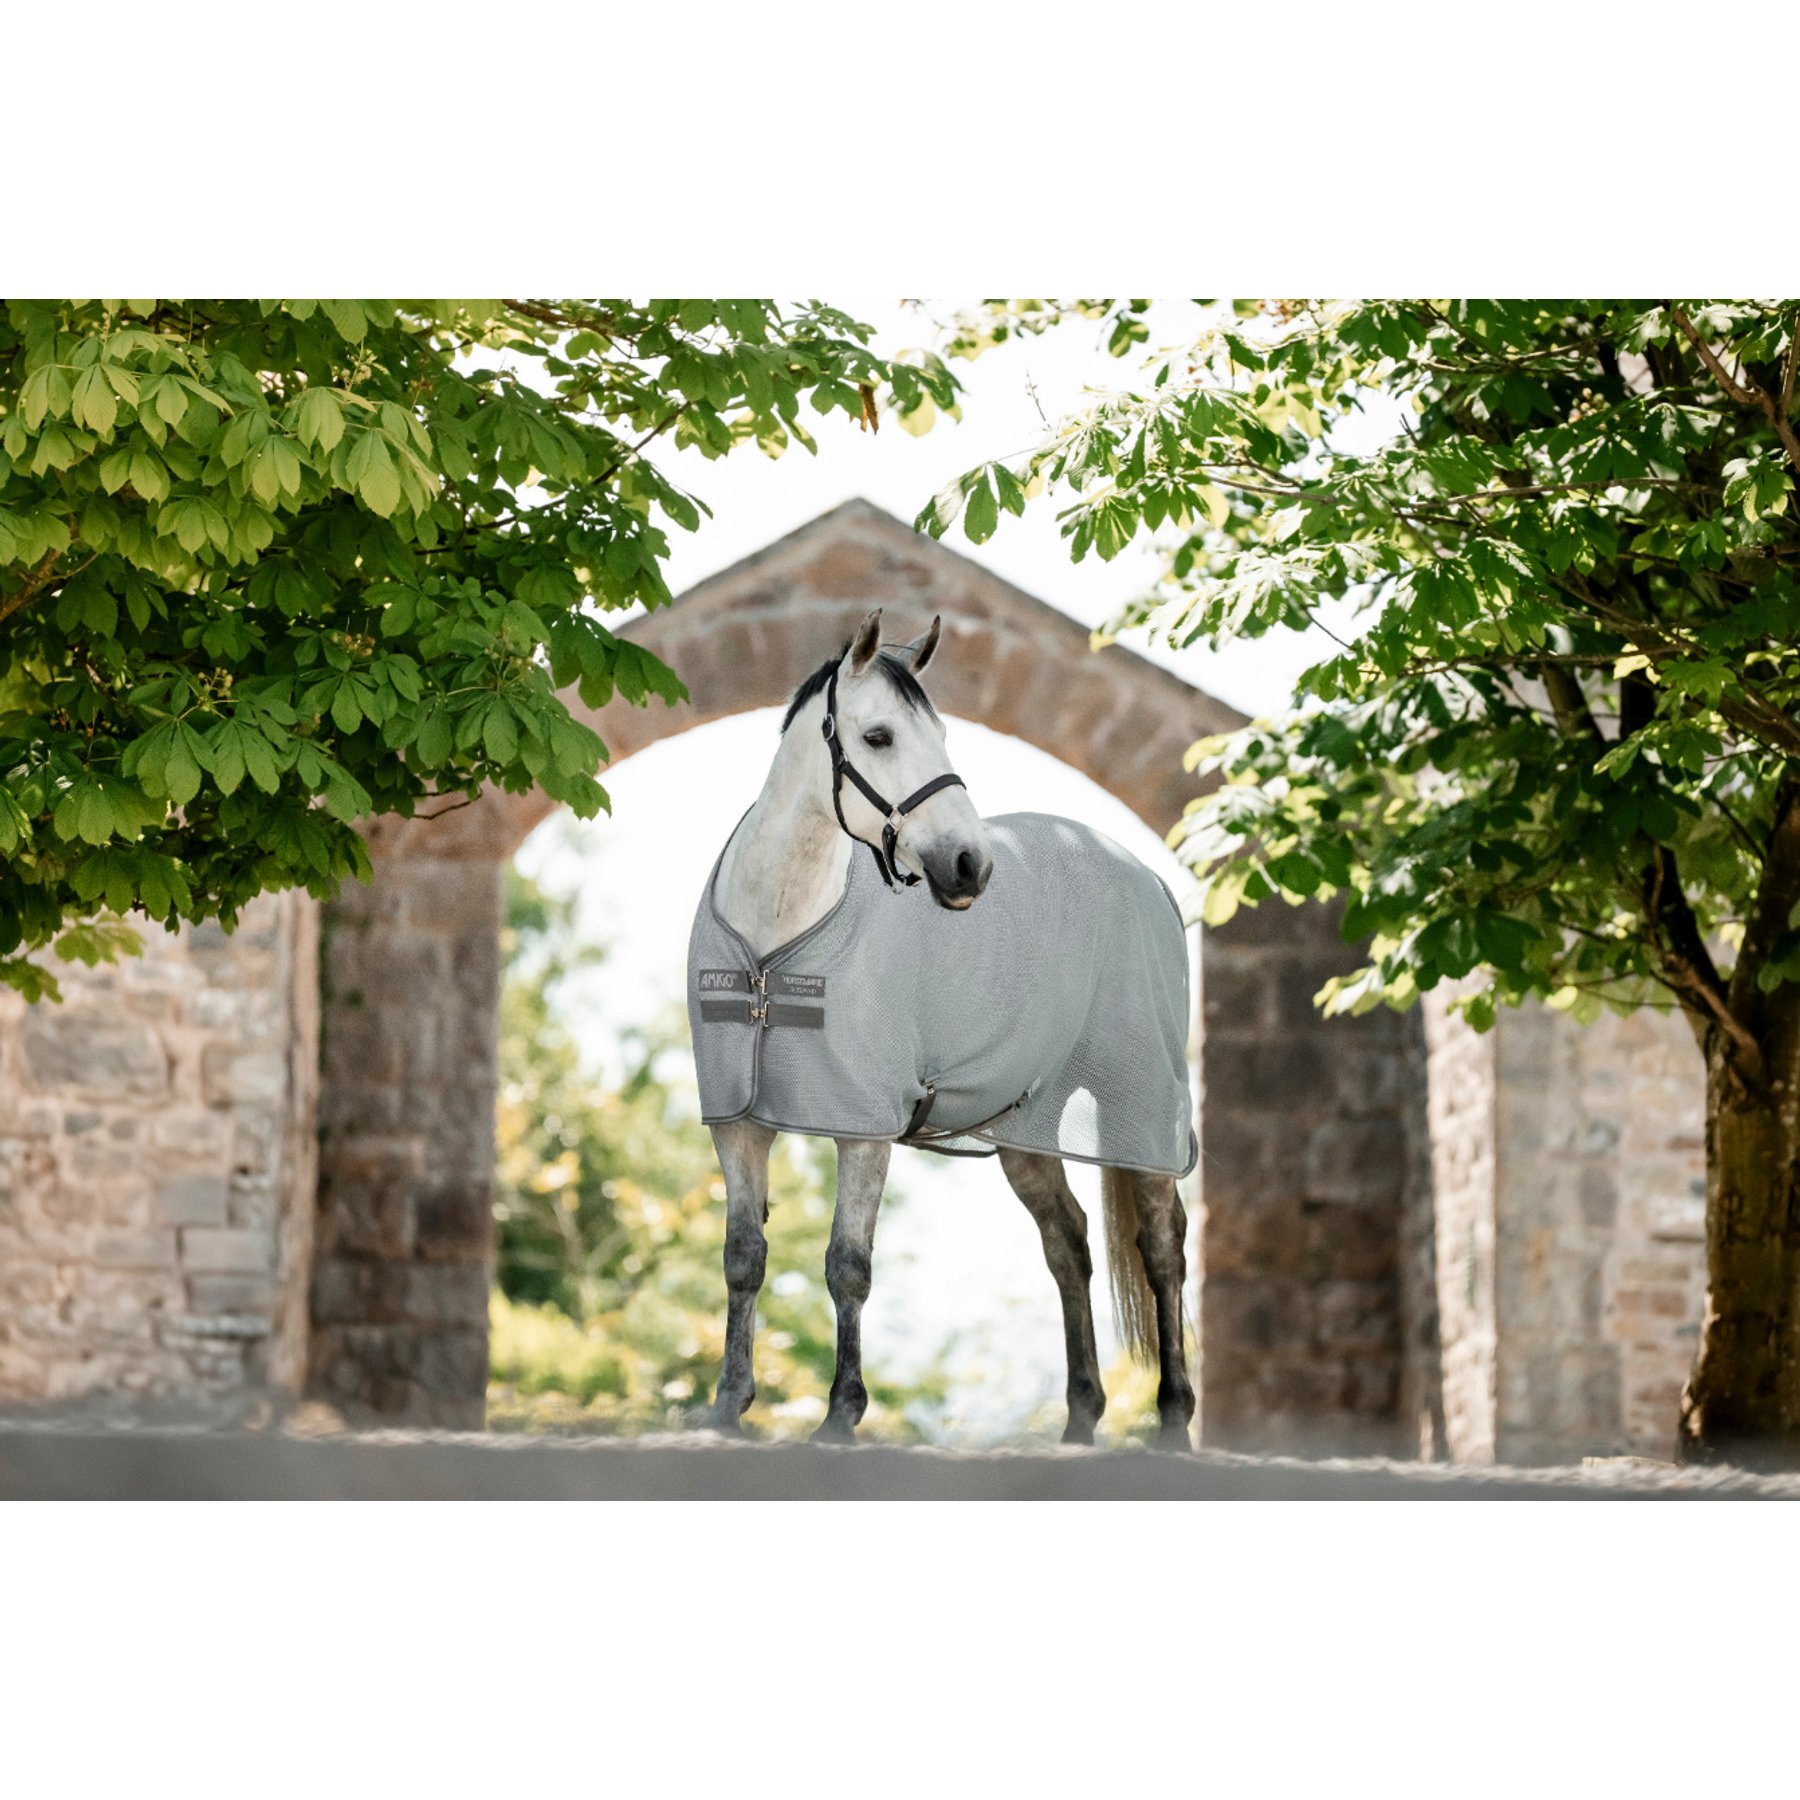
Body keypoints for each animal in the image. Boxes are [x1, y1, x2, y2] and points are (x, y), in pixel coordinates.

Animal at [686, 608, 1198, 1449]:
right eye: (880, 736)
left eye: (945, 734)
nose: (969, 866)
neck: (776, 937)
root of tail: (1146, 876)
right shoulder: (737, 1122)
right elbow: (742, 1256)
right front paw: (728, 1404)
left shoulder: (862, 1127)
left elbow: (847, 1264)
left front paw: (841, 1413)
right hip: (1028, 1130)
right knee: (1069, 1245)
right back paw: (1081, 1417)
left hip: (1142, 1106)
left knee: (1160, 1247)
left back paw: (1175, 1418)